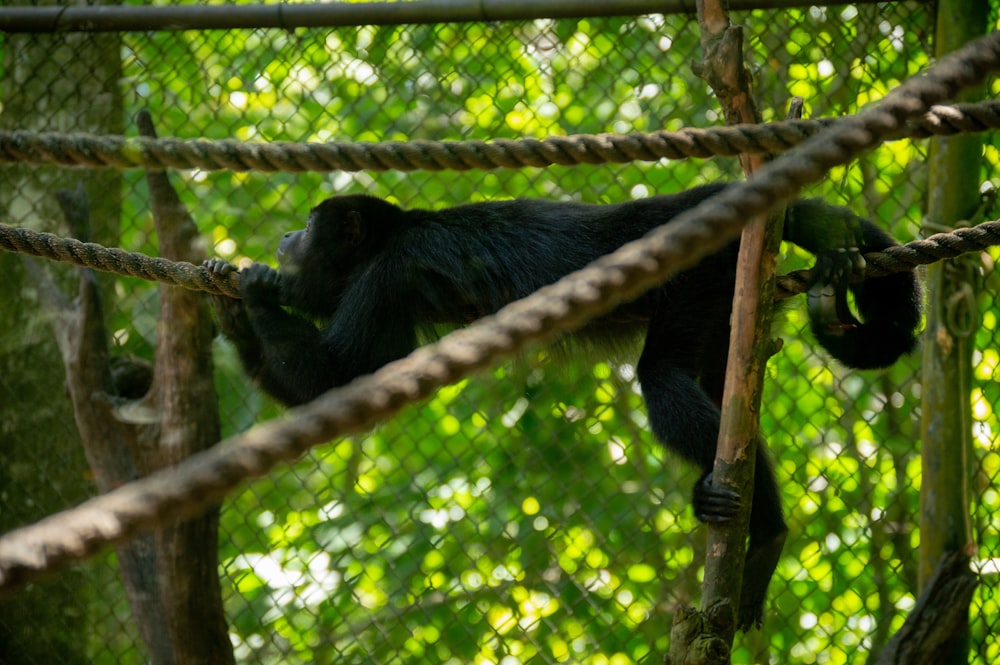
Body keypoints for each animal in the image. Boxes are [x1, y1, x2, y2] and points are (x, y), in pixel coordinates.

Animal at [203, 184, 920, 632]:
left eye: (309, 227)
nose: (286, 233)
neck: (393, 235)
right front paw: (229, 311)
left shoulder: (389, 272)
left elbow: (348, 375)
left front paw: (255, 292)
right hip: (732, 286)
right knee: (723, 385)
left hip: (697, 271)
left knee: (663, 378)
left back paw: (766, 531)